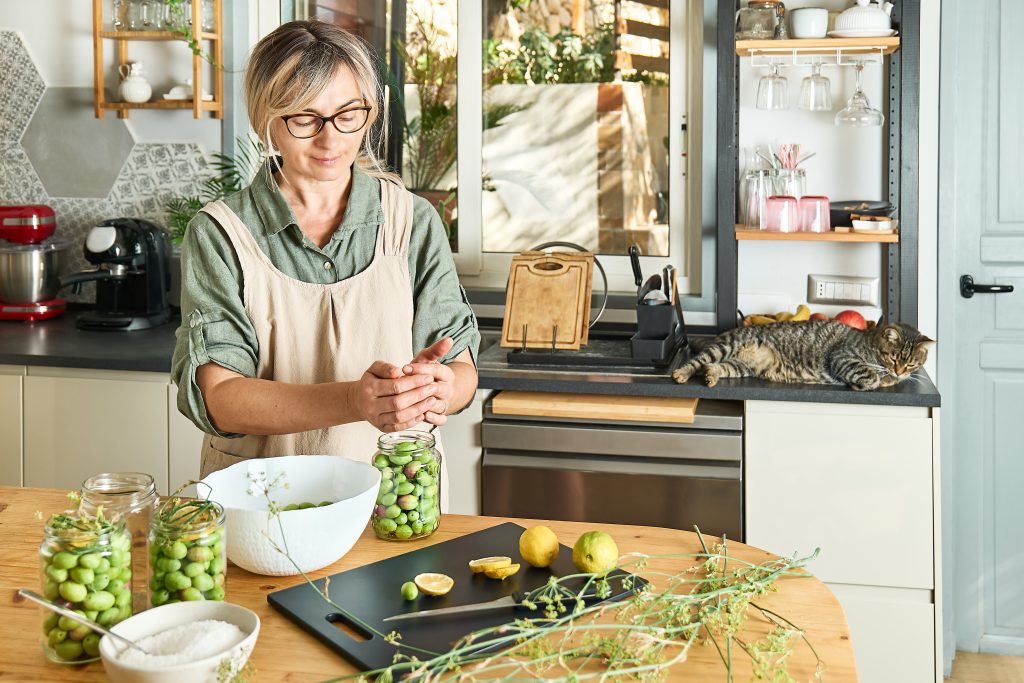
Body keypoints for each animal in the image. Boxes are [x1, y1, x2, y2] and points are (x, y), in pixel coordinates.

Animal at [671, 321, 937, 389]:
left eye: (911, 364)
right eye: (893, 358)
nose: (899, 370)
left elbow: (884, 380)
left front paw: (890, 379)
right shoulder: (841, 357)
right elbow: (869, 376)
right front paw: (869, 381)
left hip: (739, 366)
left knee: (716, 366)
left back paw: (711, 375)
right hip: (724, 347)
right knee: (696, 361)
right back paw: (681, 373)